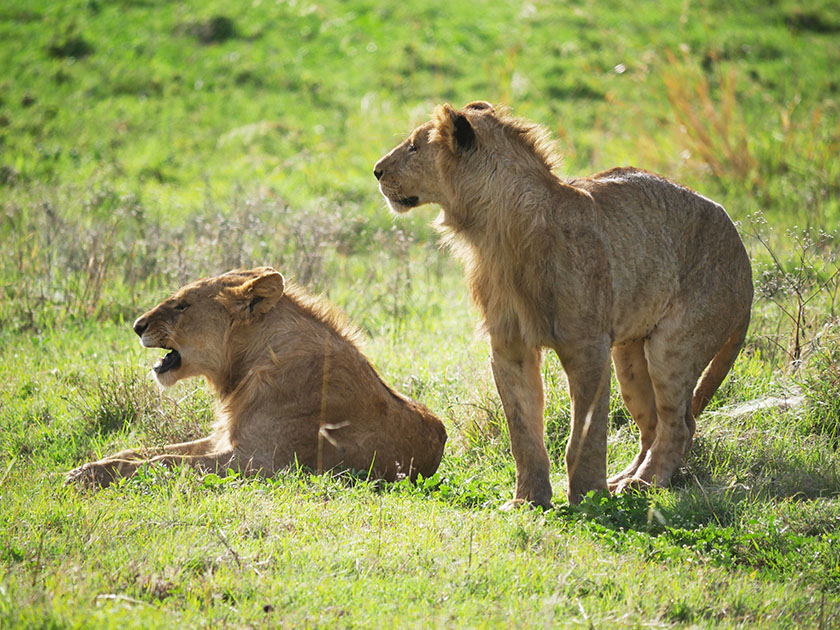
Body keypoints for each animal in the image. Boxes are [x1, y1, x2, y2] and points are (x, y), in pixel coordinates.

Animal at [65, 266, 446, 488]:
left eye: (182, 305)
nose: (136, 326)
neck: (245, 367)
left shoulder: (262, 461)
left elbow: (165, 461)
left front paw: (86, 476)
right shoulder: (222, 439)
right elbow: (143, 450)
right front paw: (90, 465)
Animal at [374, 102, 756, 508]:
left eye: (414, 147)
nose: (377, 170)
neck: (495, 233)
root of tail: (746, 265)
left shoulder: (588, 346)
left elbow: (586, 433)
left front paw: (588, 497)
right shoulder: (510, 347)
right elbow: (522, 431)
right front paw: (528, 500)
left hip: (674, 346)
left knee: (679, 424)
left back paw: (645, 484)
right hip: (630, 357)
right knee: (655, 424)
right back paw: (624, 480)